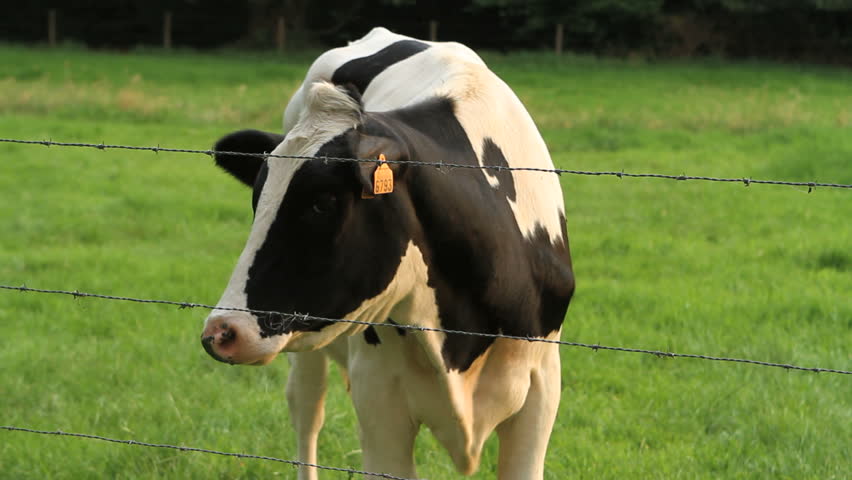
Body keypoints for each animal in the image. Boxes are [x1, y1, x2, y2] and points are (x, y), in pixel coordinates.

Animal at [200, 27, 575, 480]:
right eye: (259, 199)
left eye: (322, 203)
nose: (222, 331)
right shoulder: (379, 398)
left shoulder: (541, 390)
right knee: (307, 414)